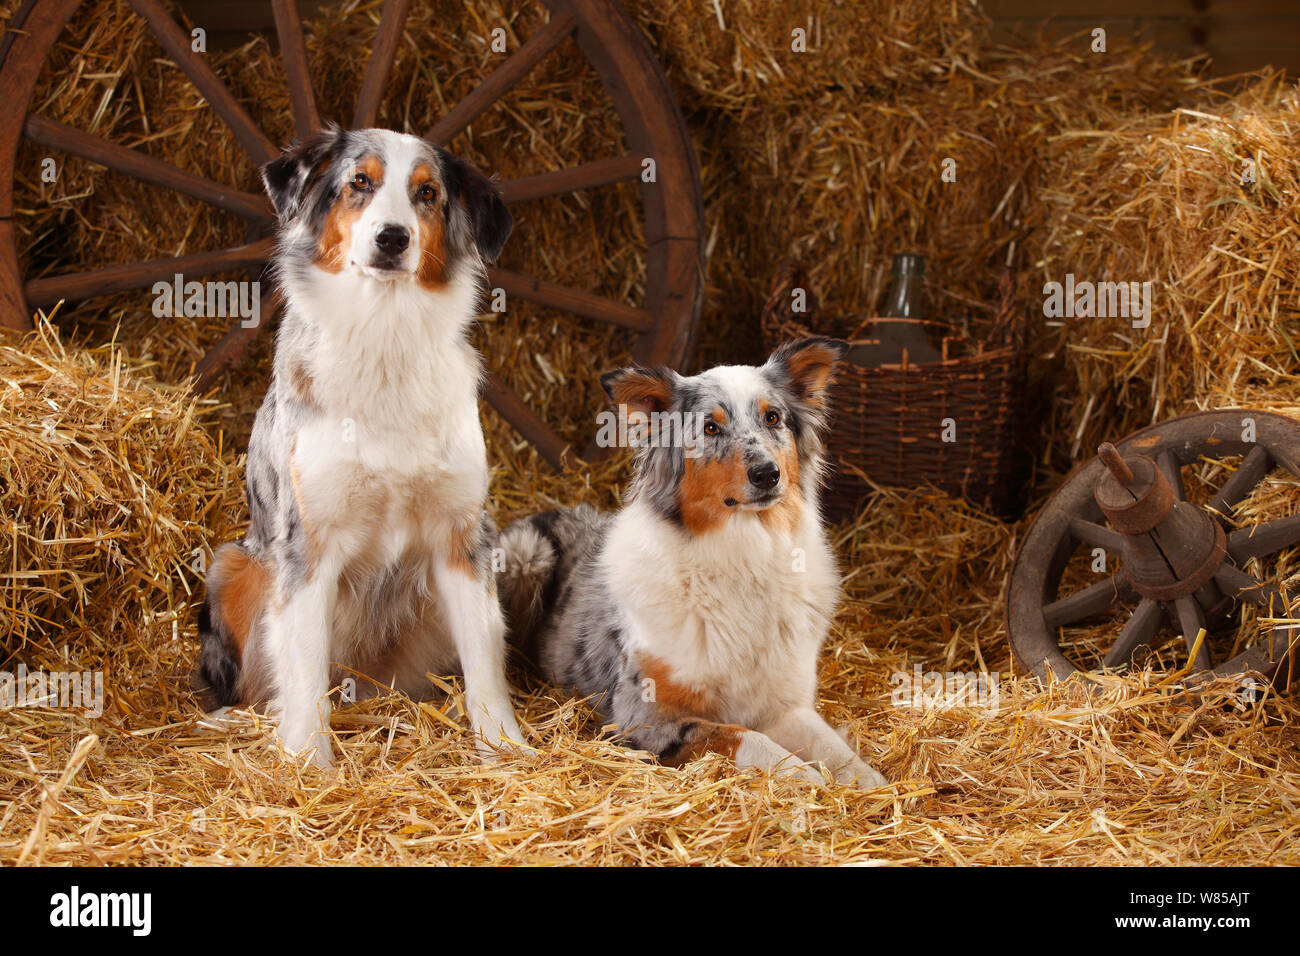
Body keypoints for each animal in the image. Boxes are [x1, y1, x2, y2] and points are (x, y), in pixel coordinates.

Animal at [191, 128, 522, 770]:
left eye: (427, 193)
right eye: (359, 183)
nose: (392, 237)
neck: (384, 334)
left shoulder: (463, 537)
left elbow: (485, 660)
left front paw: (506, 748)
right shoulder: (308, 544)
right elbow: (302, 667)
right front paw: (307, 762)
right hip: (236, 565)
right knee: (259, 681)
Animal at [493, 340, 883, 790]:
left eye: (773, 417)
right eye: (710, 428)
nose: (768, 474)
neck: (744, 559)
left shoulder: (784, 705)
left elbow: (836, 750)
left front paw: (871, 783)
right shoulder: (643, 718)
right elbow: (749, 739)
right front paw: (809, 780)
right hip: (528, 552)